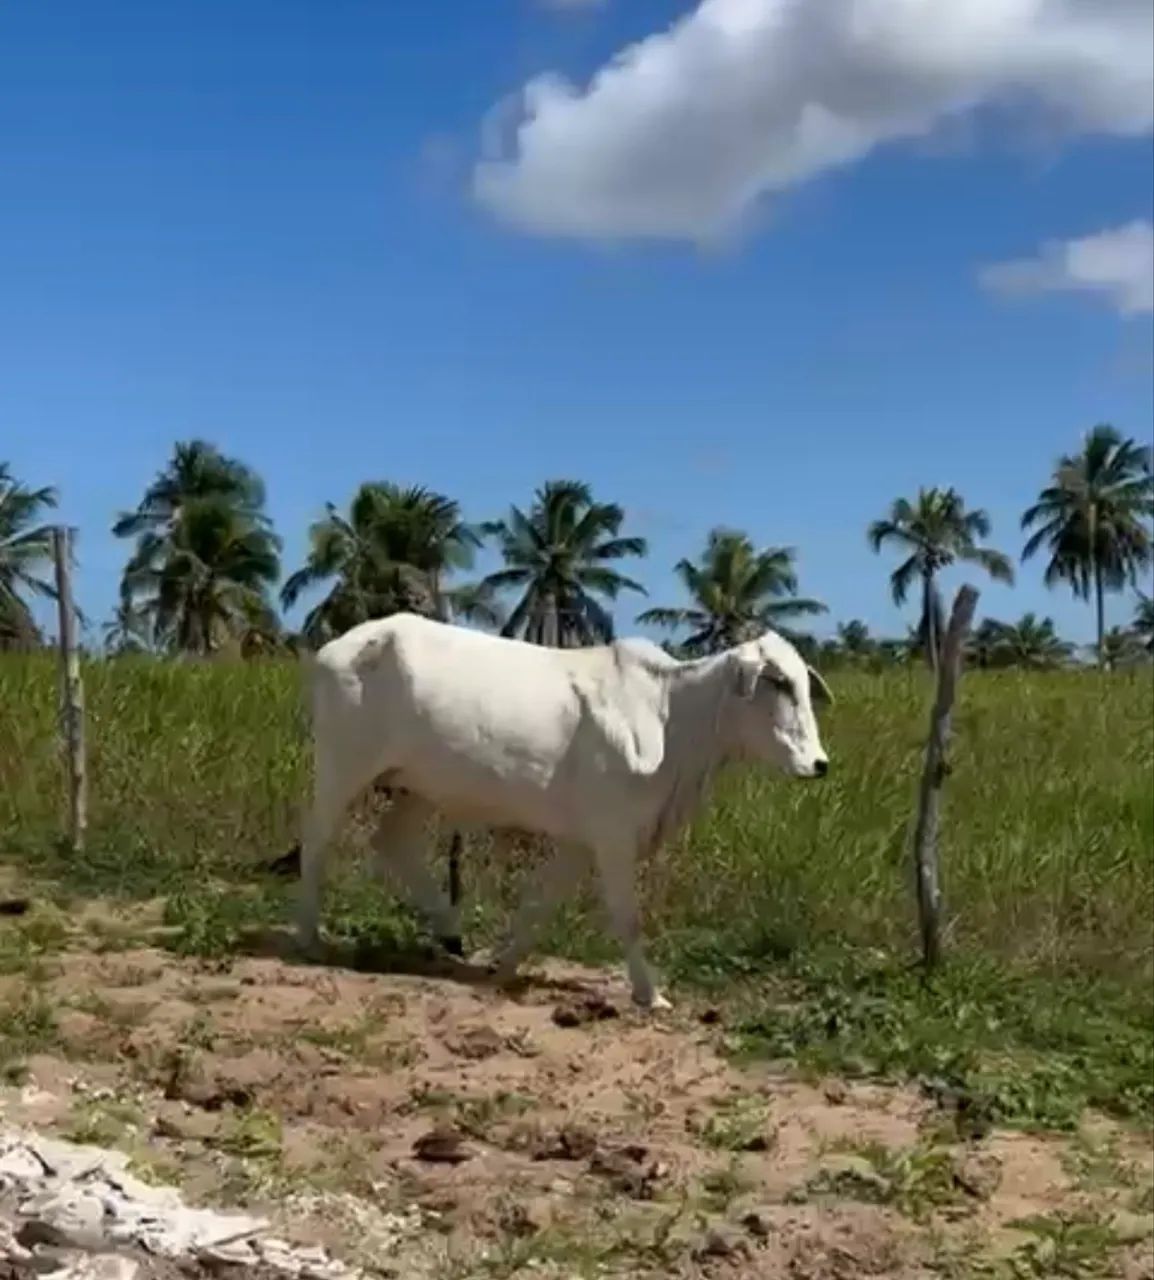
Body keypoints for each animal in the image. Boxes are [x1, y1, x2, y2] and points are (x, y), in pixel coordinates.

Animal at [295, 612, 832, 1010]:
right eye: (777, 682)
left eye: (804, 684)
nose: (819, 764)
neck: (672, 716)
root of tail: (341, 644)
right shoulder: (613, 836)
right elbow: (627, 916)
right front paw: (650, 994)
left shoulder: (580, 841)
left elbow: (539, 905)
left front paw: (501, 967)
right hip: (343, 767)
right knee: (316, 841)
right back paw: (307, 936)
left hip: (417, 787)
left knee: (390, 841)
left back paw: (449, 932)